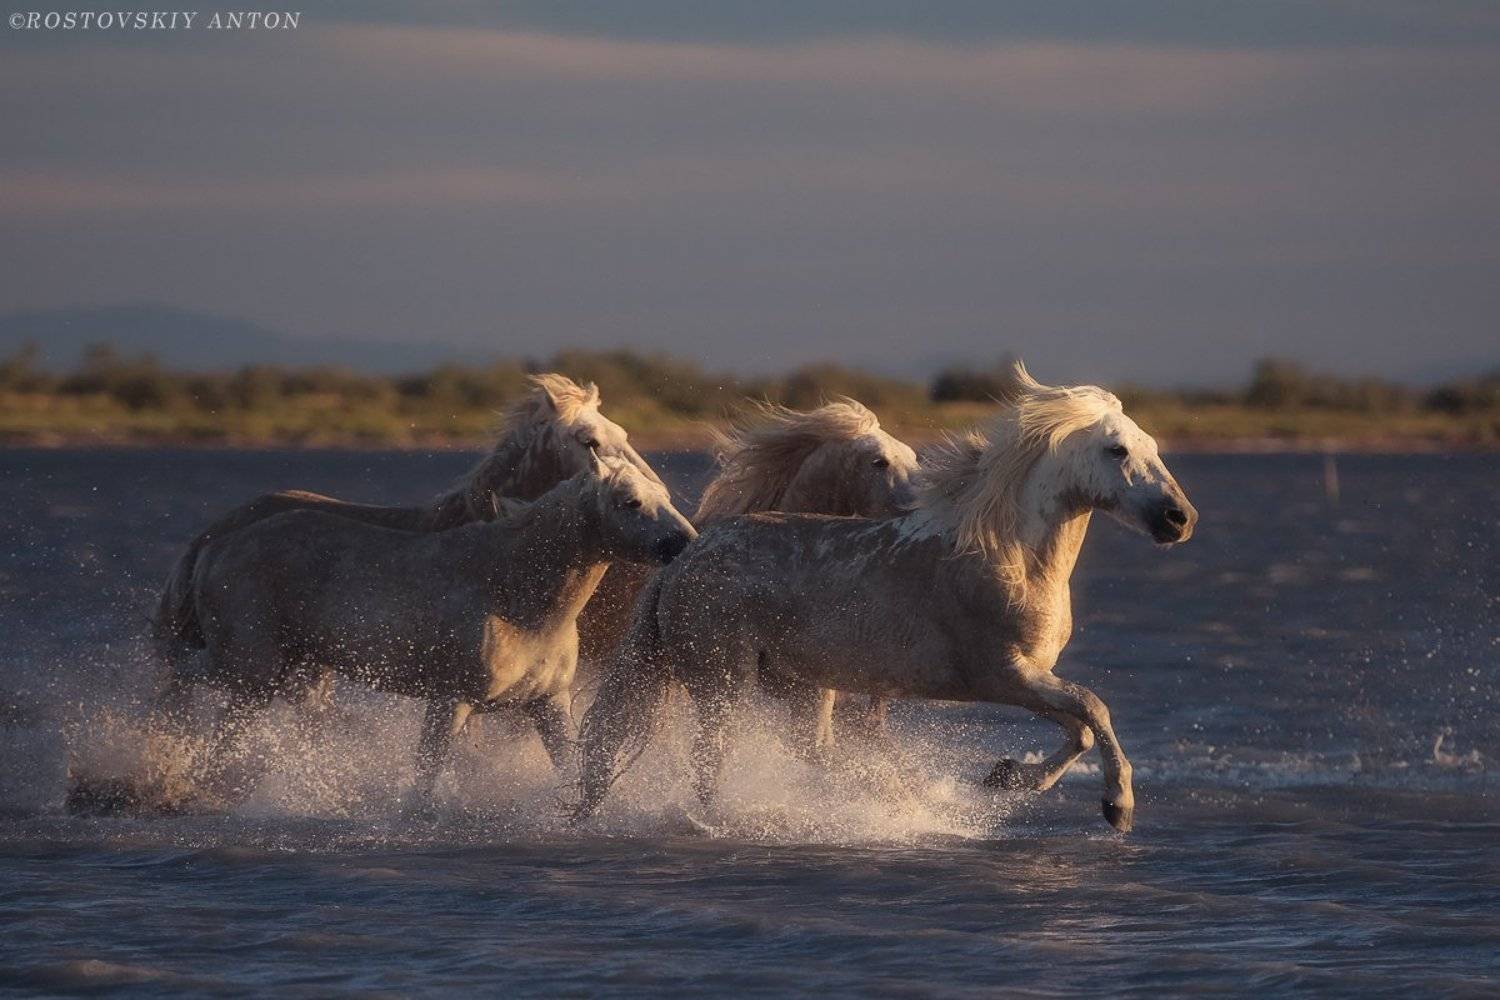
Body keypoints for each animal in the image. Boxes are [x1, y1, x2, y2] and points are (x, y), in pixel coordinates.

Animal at [165, 456, 695, 807]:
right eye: (629, 502)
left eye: (666, 498)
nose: (684, 543)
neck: (514, 592)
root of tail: (219, 547)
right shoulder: (451, 700)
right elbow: (425, 781)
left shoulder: (548, 703)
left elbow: (570, 765)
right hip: (250, 669)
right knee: (179, 673)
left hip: (288, 674)